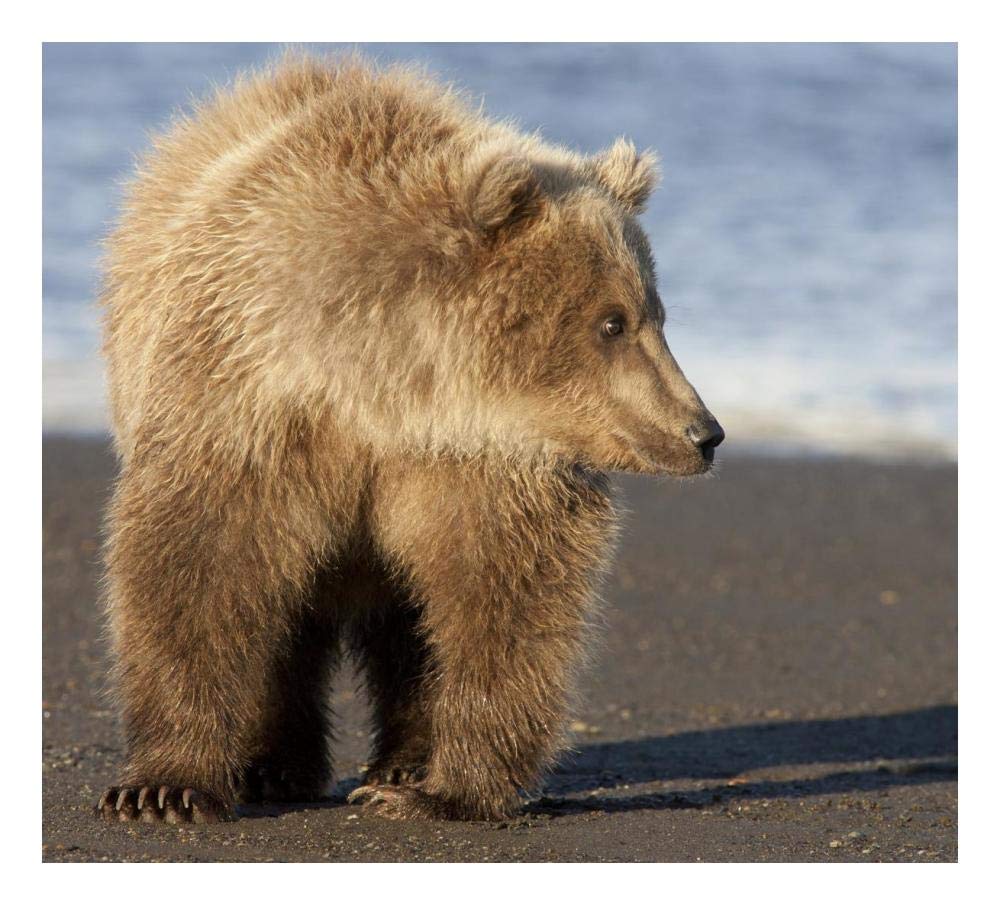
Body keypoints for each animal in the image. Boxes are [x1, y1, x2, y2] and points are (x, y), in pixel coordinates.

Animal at [95, 53, 723, 824]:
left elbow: (505, 597)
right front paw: (162, 787)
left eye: (655, 312)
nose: (703, 432)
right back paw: (272, 766)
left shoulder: (479, 460)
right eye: (614, 321)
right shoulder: (246, 401)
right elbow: (198, 562)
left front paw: (441, 789)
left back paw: (397, 764)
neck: (385, 387)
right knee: (287, 613)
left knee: (408, 621)